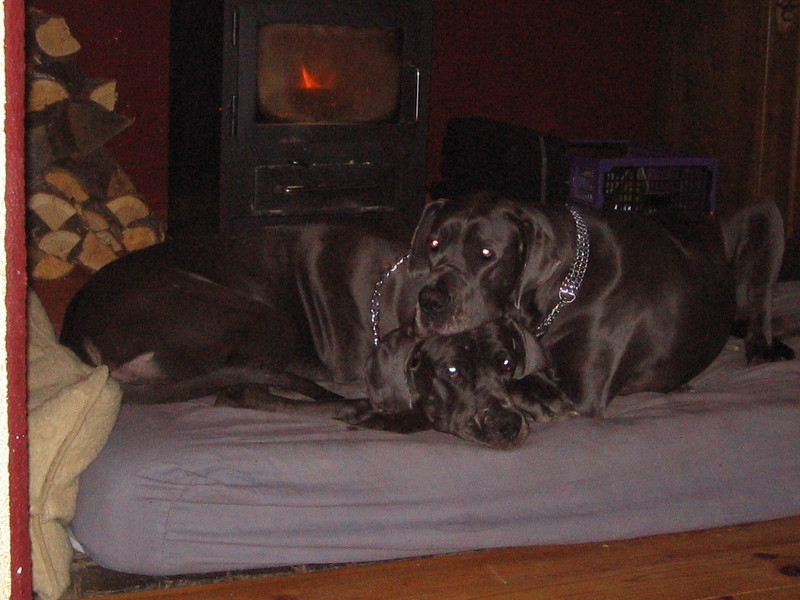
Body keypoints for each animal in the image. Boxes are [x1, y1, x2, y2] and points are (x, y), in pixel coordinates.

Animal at [406, 192, 793, 417]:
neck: (564, 287)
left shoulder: (579, 394)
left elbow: (516, 379)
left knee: (759, 307)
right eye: (434, 244)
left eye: (487, 254)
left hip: (766, 213)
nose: (429, 301)